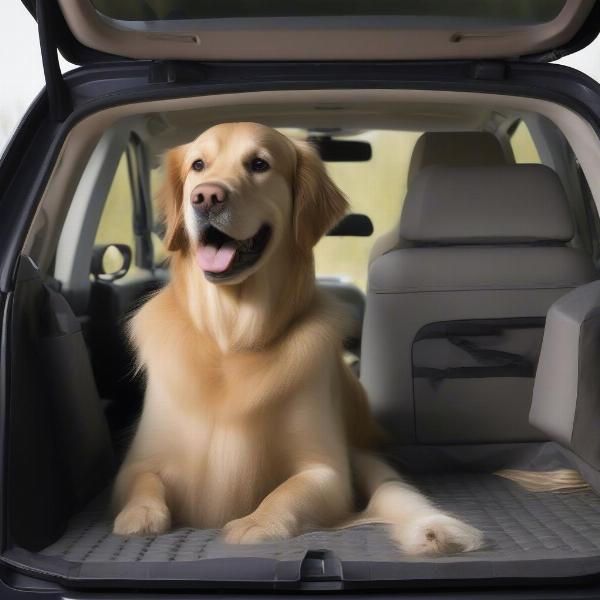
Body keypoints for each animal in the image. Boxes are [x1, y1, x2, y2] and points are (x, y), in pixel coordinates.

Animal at [112, 120, 482, 552]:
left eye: (259, 164)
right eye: (198, 165)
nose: (205, 197)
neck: (232, 339)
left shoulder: (327, 470)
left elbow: (287, 491)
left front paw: (255, 523)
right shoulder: (138, 462)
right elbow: (143, 482)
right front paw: (139, 517)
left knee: (397, 492)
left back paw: (437, 531)